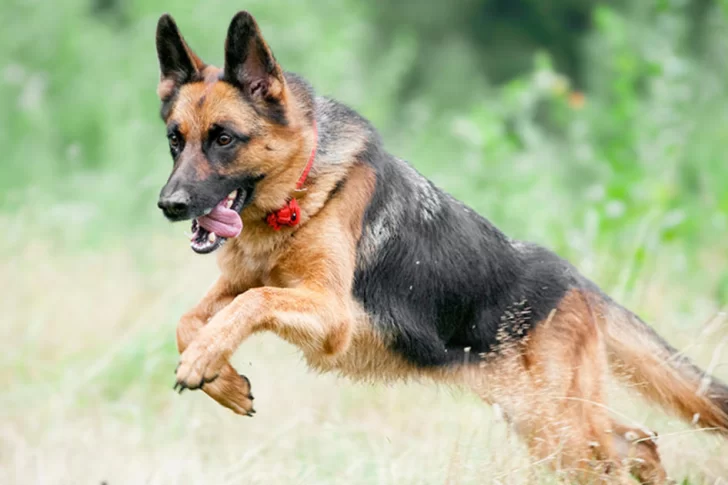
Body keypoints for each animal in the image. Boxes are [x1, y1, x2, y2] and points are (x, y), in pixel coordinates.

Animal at [155, 12, 728, 484]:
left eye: (224, 139)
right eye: (175, 141)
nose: (169, 205)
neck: (301, 190)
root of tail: (573, 280)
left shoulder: (328, 314)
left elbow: (253, 303)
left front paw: (205, 361)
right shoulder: (238, 285)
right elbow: (189, 320)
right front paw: (221, 377)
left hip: (556, 423)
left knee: (621, 451)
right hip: (539, 417)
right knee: (639, 442)